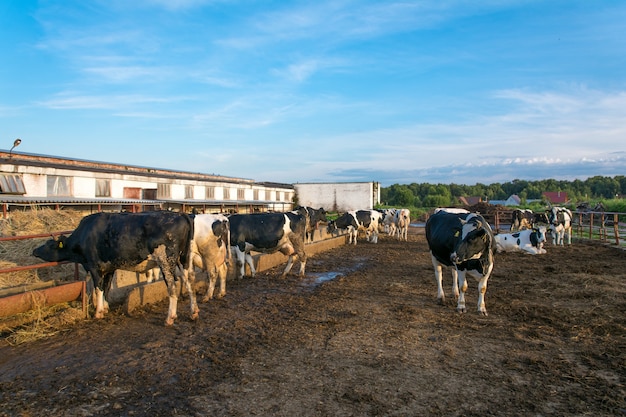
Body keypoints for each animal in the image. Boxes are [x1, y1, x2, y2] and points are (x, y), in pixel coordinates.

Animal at [31, 211, 196, 324]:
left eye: (49, 245)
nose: (34, 250)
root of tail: (180, 214)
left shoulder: (94, 267)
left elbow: (98, 288)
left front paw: (98, 312)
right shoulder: (109, 269)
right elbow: (106, 287)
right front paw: (105, 308)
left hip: (166, 260)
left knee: (173, 286)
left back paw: (170, 318)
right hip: (182, 261)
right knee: (188, 282)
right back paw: (194, 312)